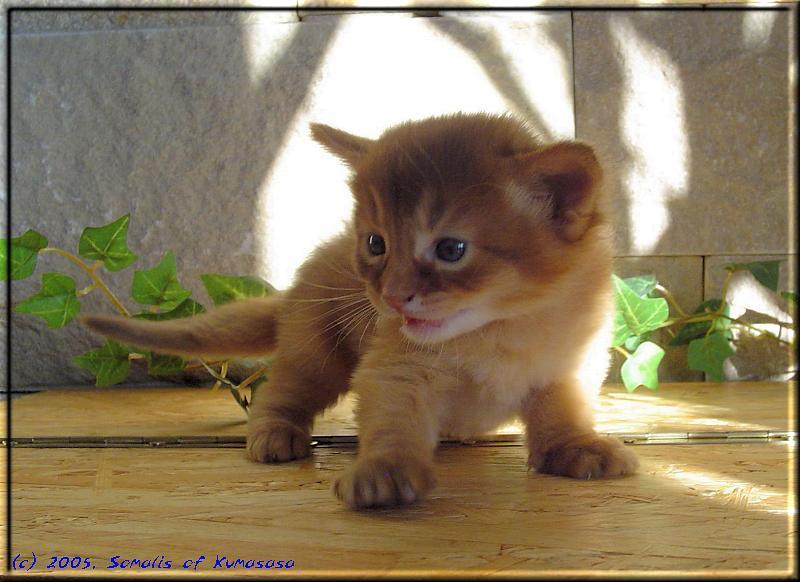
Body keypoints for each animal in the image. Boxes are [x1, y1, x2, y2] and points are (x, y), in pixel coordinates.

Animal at [83, 114, 636, 512]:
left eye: (451, 249)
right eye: (376, 243)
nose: (391, 296)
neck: (500, 329)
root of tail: (295, 286)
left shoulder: (570, 366)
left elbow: (561, 412)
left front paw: (575, 448)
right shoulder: (395, 370)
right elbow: (392, 421)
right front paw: (385, 472)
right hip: (315, 354)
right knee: (280, 392)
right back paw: (274, 434)